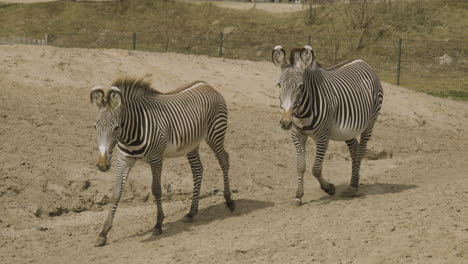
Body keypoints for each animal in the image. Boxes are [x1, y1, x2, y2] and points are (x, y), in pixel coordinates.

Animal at [89, 77, 234, 246]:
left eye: (117, 128)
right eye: (95, 127)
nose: (103, 165)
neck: (131, 133)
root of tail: (207, 85)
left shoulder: (156, 159)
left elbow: (156, 190)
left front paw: (158, 224)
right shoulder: (124, 160)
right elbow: (116, 193)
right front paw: (103, 232)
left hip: (215, 134)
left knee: (224, 160)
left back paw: (229, 201)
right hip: (192, 144)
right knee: (198, 170)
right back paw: (191, 212)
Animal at [270, 44, 384, 204]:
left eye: (300, 86)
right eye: (279, 85)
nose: (286, 123)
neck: (302, 112)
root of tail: (362, 61)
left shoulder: (323, 136)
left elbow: (316, 169)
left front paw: (328, 188)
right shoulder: (297, 135)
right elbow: (300, 166)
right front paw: (298, 195)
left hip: (370, 123)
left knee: (361, 150)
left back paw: (354, 186)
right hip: (347, 129)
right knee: (354, 149)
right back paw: (352, 184)